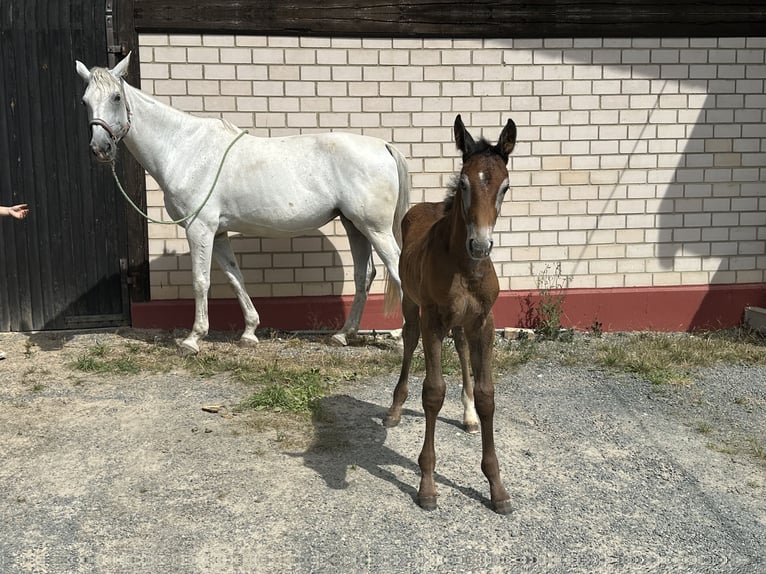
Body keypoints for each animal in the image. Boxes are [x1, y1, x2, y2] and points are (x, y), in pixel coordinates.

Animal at [76, 54, 408, 354]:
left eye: (117, 97)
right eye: (85, 101)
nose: (100, 149)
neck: (184, 147)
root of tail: (384, 146)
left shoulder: (199, 229)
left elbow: (201, 280)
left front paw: (193, 339)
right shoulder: (218, 232)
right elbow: (235, 277)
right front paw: (249, 332)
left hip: (375, 228)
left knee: (396, 268)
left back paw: (402, 339)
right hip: (354, 225)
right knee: (364, 275)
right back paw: (343, 335)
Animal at [388, 115, 520, 516]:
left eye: (505, 186)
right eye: (463, 183)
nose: (480, 244)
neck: (464, 266)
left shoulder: (484, 323)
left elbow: (487, 394)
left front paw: (497, 487)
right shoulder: (432, 319)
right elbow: (432, 393)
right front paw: (427, 485)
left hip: (462, 324)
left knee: (460, 346)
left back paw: (468, 416)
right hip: (411, 304)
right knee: (409, 339)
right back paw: (395, 409)